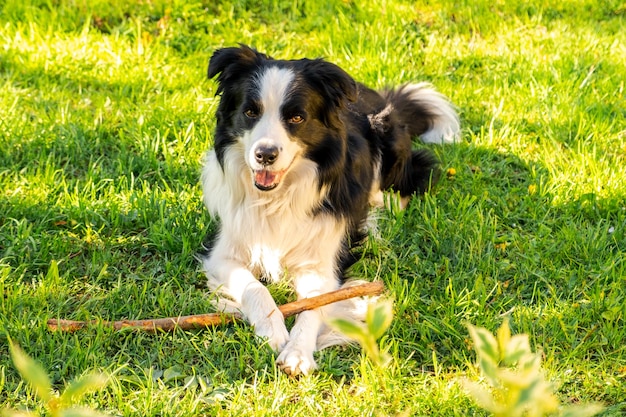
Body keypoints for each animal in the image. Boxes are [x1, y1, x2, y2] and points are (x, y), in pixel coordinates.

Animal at [200, 44, 458, 374]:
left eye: (297, 117)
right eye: (250, 112)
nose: (265, 155)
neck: (277, 198)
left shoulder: (322, 263)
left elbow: (315, 303)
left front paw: (298, 351)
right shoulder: (224, 253)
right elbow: (254, 287)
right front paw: (272, 331)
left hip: (385, 129)